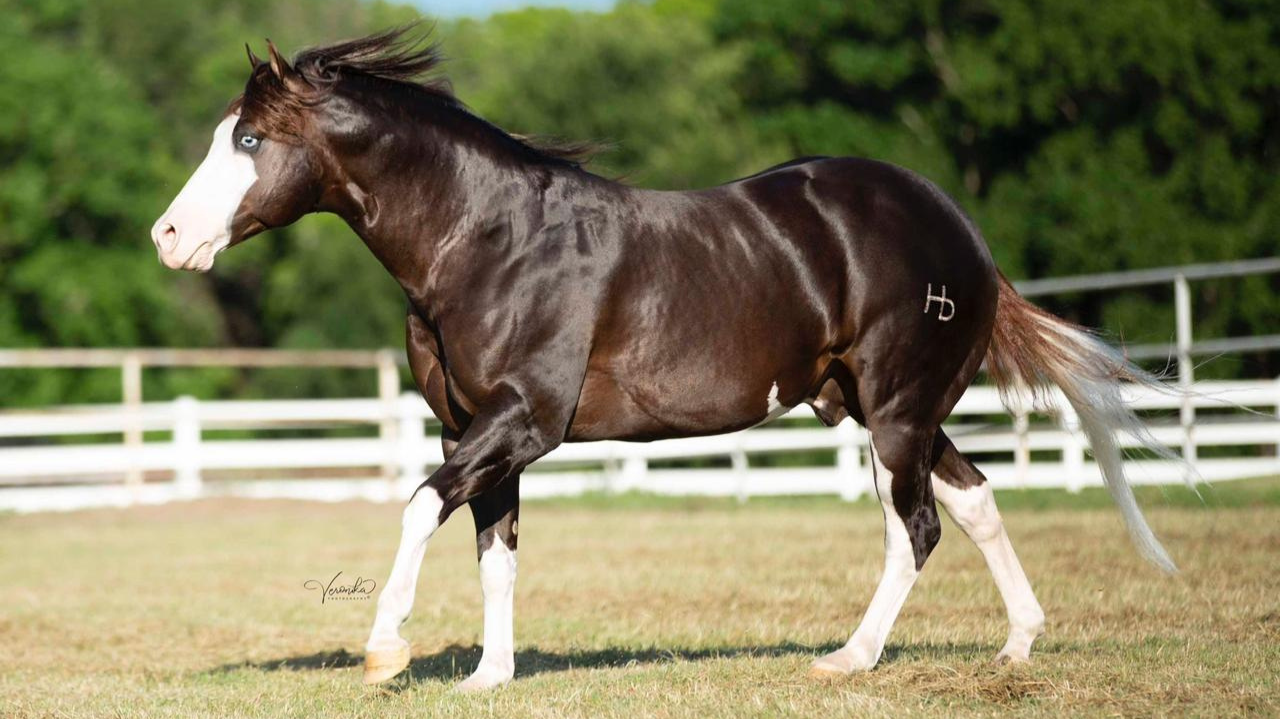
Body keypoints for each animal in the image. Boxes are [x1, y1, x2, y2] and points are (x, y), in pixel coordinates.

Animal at [154, 27, 1182, 690]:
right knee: (972, 501)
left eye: (249, 139)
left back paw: (850, 658)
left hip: (896, 412)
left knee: (915, 528)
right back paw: (1017, 645)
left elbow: (418, 508)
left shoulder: (524, 420)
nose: (167, 237)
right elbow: (494, 549)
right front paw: (489, 676)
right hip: (892, 409)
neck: (489, 240)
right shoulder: (476, 429)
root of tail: (963, 234)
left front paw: (384, 650)